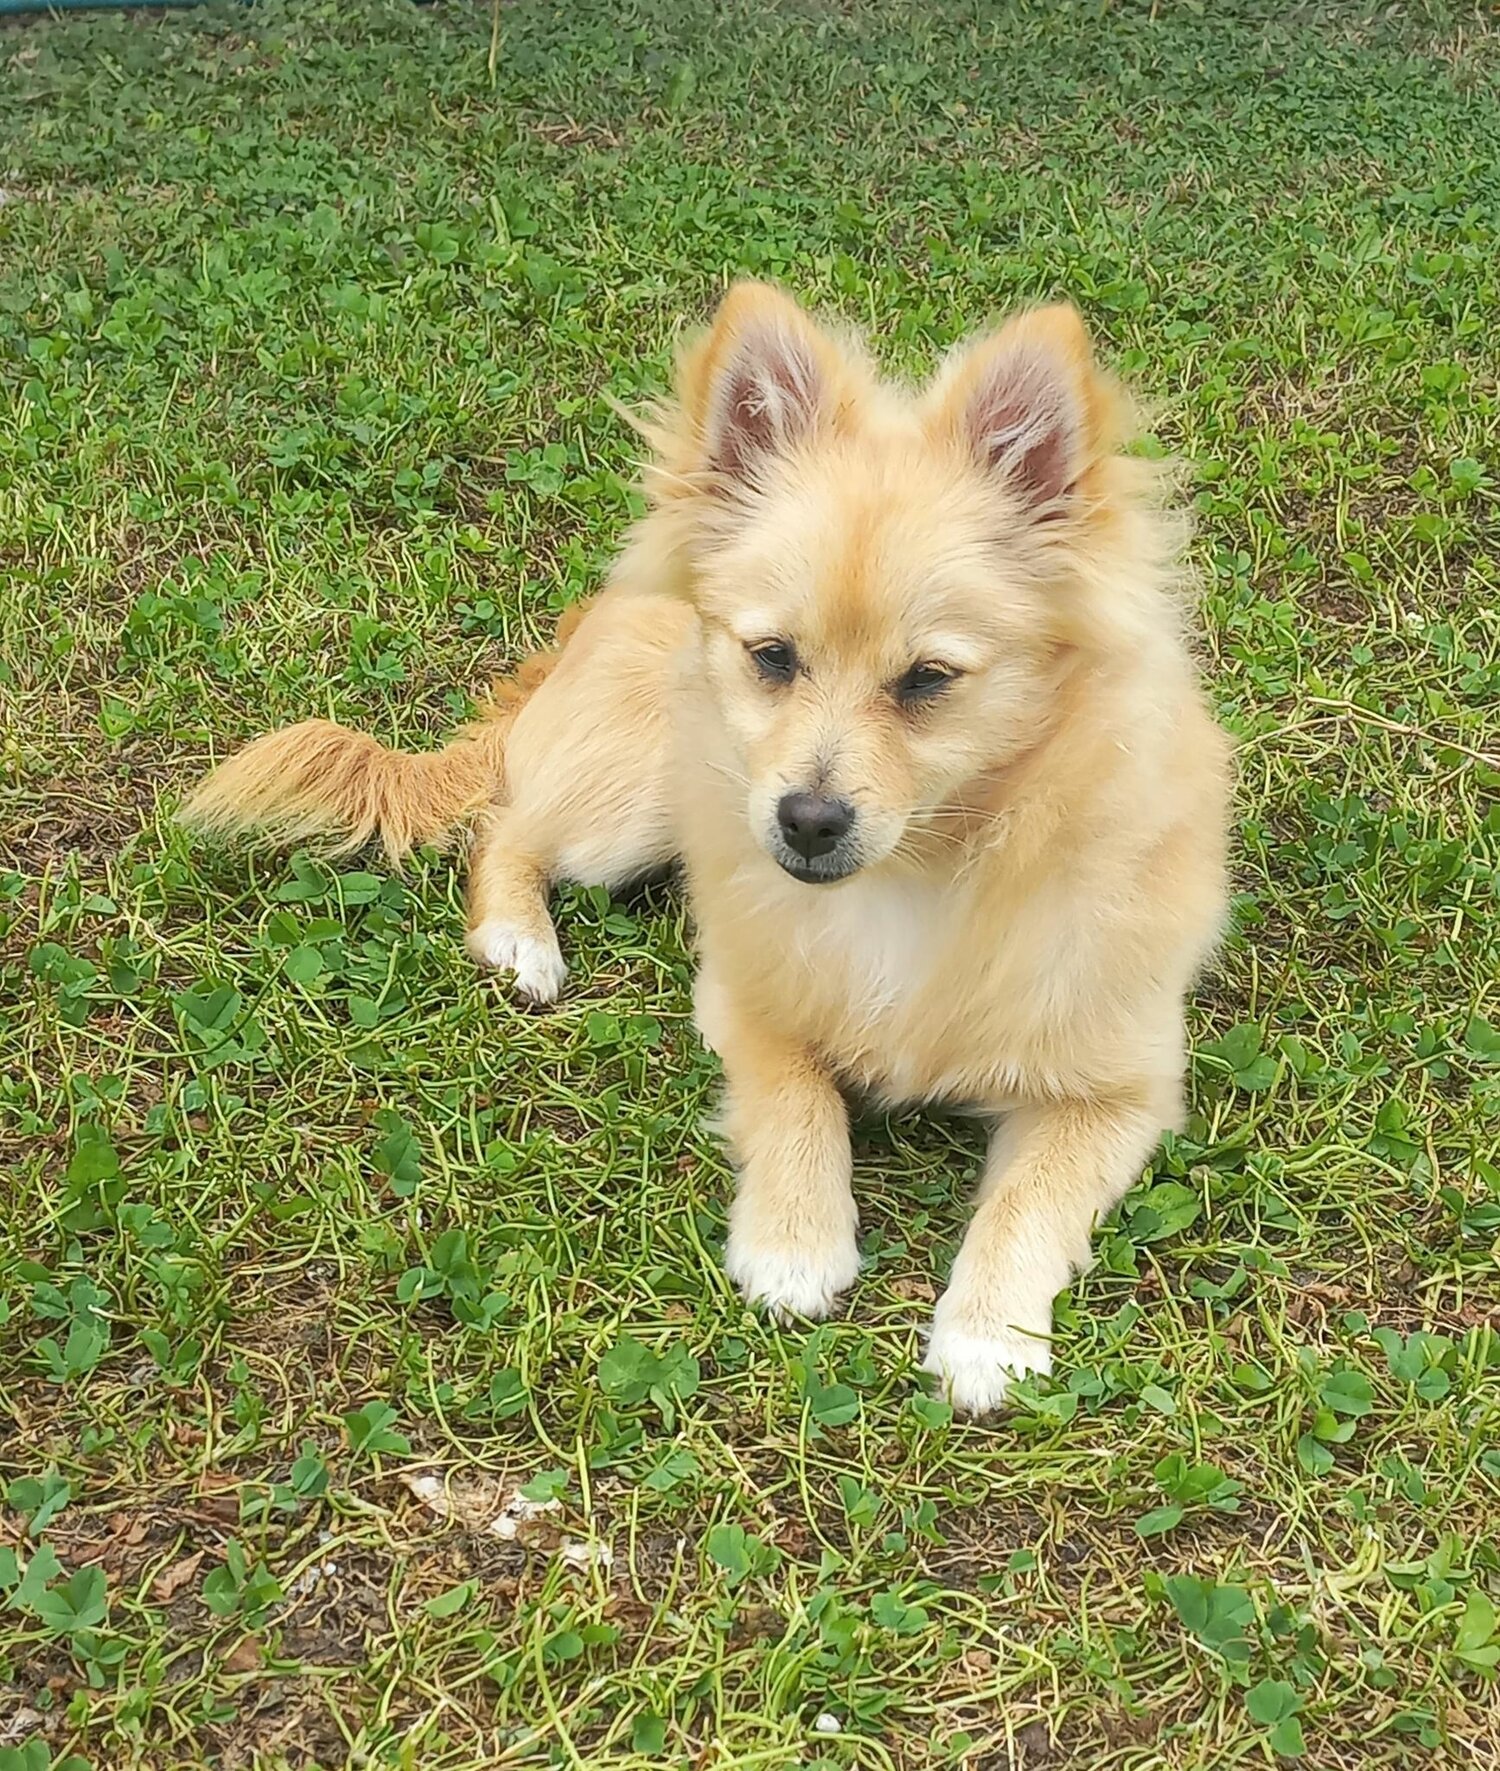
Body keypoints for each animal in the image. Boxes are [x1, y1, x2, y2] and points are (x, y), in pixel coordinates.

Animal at [178, 279, 1232, 1409]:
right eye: (771, 656)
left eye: (928, 681)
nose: (805, 821)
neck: (918, 874)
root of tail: (591, 615)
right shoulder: (747, 1000)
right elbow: (796, 1098)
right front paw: (795, 1241)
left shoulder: (1116, 1092)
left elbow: (1034, 1198)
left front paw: (989, 1332)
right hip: (633, 807)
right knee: (510, 826)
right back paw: (519, 940)